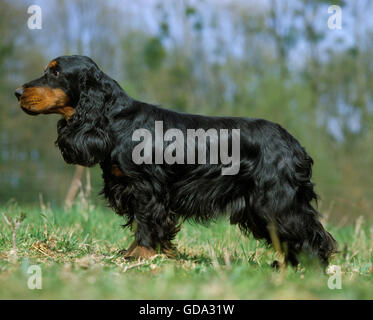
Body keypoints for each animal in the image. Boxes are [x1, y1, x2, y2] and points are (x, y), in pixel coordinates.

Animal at [14, 55, 336, 264]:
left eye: (55, 73)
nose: (16, 92)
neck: (115, 120)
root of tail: (295, 145)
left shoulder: (147, 188)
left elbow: (146, 223)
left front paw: (140, 256)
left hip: (277, 201)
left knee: (311, 233)